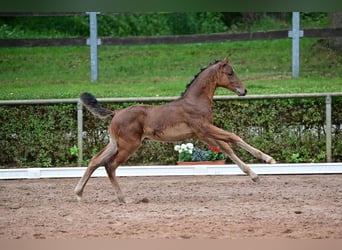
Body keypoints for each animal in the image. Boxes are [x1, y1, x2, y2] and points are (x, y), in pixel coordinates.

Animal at [75, 55, 276, 203]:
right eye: (230, 73)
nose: (244, 91)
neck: (195, 101)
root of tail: (115, 113)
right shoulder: (205, 128)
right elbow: (233, 137)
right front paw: (268, 159)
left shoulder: (202, 133)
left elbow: (226, 148)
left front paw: (254, 175)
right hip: (129, 146)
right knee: (109, 165)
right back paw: (122, 198)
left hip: (115, 144)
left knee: (95, 160)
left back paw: (78, 193)